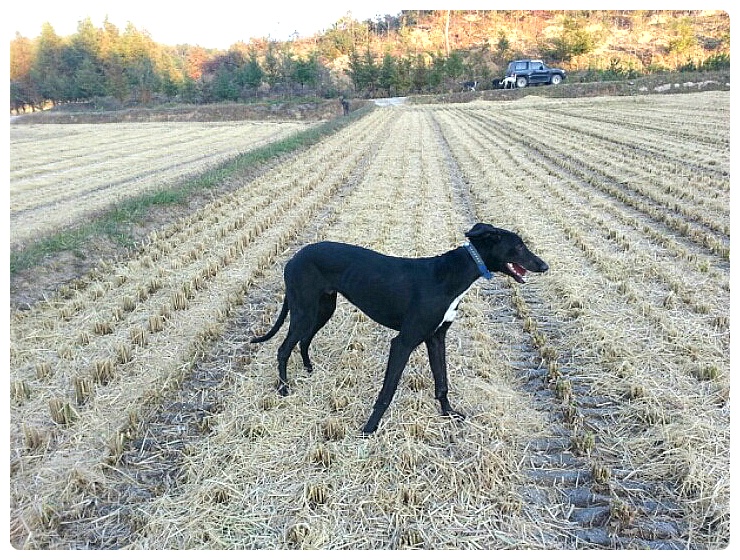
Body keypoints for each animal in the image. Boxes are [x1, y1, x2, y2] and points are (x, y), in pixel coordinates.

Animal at [251, 223, 548, 434]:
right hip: (305, 311)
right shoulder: (404, 342)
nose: (544, 266)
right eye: (518, 246)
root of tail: (294, 258)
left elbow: (442, 382)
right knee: (283, 348)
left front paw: (448, 413)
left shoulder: (436, 338)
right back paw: (283, 389)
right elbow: (387, 391)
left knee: (303, 341)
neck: (451, 275)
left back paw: (309, 369)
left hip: (323, 309)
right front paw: (369, 429)